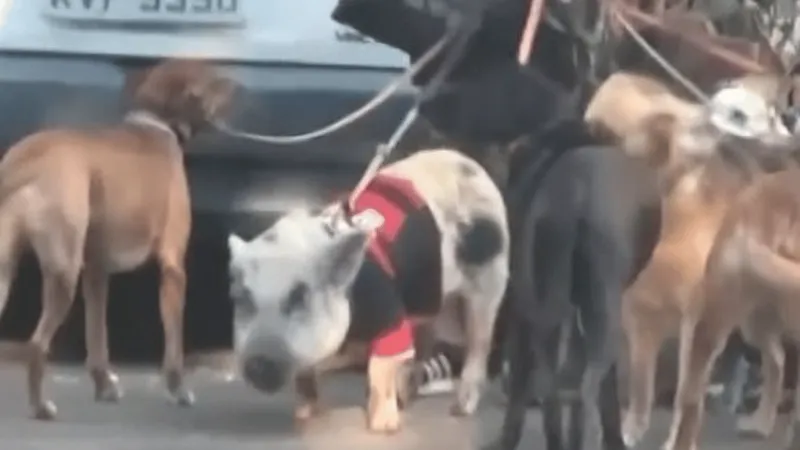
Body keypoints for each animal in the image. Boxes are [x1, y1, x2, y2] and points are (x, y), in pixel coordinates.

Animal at [0, 58, 234, 420]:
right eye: (212, 78)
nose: (237, 84)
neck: (157, 124)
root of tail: (24, 158)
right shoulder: (172, 266)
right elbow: (173, 342)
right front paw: (177, 389)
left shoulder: (96, 272)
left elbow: (97, 336)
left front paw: (104, 385)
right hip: (62, 272)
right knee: (37, 345)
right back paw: (41, 406)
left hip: (9, 267)